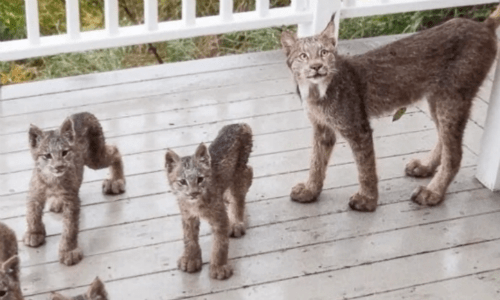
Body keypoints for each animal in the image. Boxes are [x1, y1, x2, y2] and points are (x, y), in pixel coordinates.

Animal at [25, 112, 127, 264]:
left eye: (64, 152)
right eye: (47, 155)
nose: (59, 166)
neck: (52, 178)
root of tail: (82, 113)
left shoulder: (70, 200)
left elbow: (70, 227)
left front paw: (68, 251)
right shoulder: (35, 193)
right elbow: (32, 214)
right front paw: (34, 232)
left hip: (94, 158)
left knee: (114, 150)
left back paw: (117, 180)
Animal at [165, 123, 254, 280]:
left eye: (200, 179)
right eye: (182, 182)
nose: (193, 193)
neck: (195, 202)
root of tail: (239, 124)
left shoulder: (220, 217)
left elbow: (220, 244)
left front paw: (219, 267)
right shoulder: (187, 215)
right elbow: (189, 237)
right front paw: (190, 259)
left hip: (238, 171)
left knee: (243, 183)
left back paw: (236, 222)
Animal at [282, 4, 500, 211]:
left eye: (324, 53)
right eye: (303, 56)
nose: (317, 66)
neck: (315, 90)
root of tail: (483, 25)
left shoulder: (357, 128)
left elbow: (365, 167)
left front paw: (368, 200)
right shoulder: (322, 128)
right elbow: (316, 161)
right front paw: (310, 190)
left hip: (452, 97)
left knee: (455, 154)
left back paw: (433, 193)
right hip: (438, 98)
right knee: (445, 140)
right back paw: (426, 166)